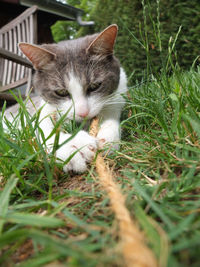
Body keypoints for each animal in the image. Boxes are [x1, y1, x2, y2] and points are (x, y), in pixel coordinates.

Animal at [3, 24, 127, 174]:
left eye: (95, 86)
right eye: (61, 92)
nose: (83, 113)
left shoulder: (118, 97)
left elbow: (111, 117)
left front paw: (108, 137)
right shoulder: (43, 110)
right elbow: (42, 132)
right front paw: (72, 148)